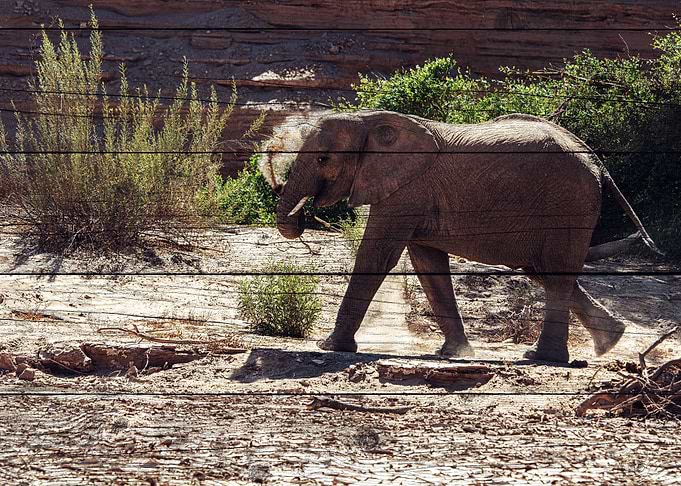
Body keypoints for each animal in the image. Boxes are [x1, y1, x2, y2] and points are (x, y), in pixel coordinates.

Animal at [260, 109, 662, 363]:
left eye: (324, 160)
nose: (302, 216)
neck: (368, 120)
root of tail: (598, 162)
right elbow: (428, 263)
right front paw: (454, 354)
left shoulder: (406, 188)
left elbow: (378, 256)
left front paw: (330, 347)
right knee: (543, 271)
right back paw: (609, 341)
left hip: (569, 203)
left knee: (555, 273)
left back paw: (543, 357)